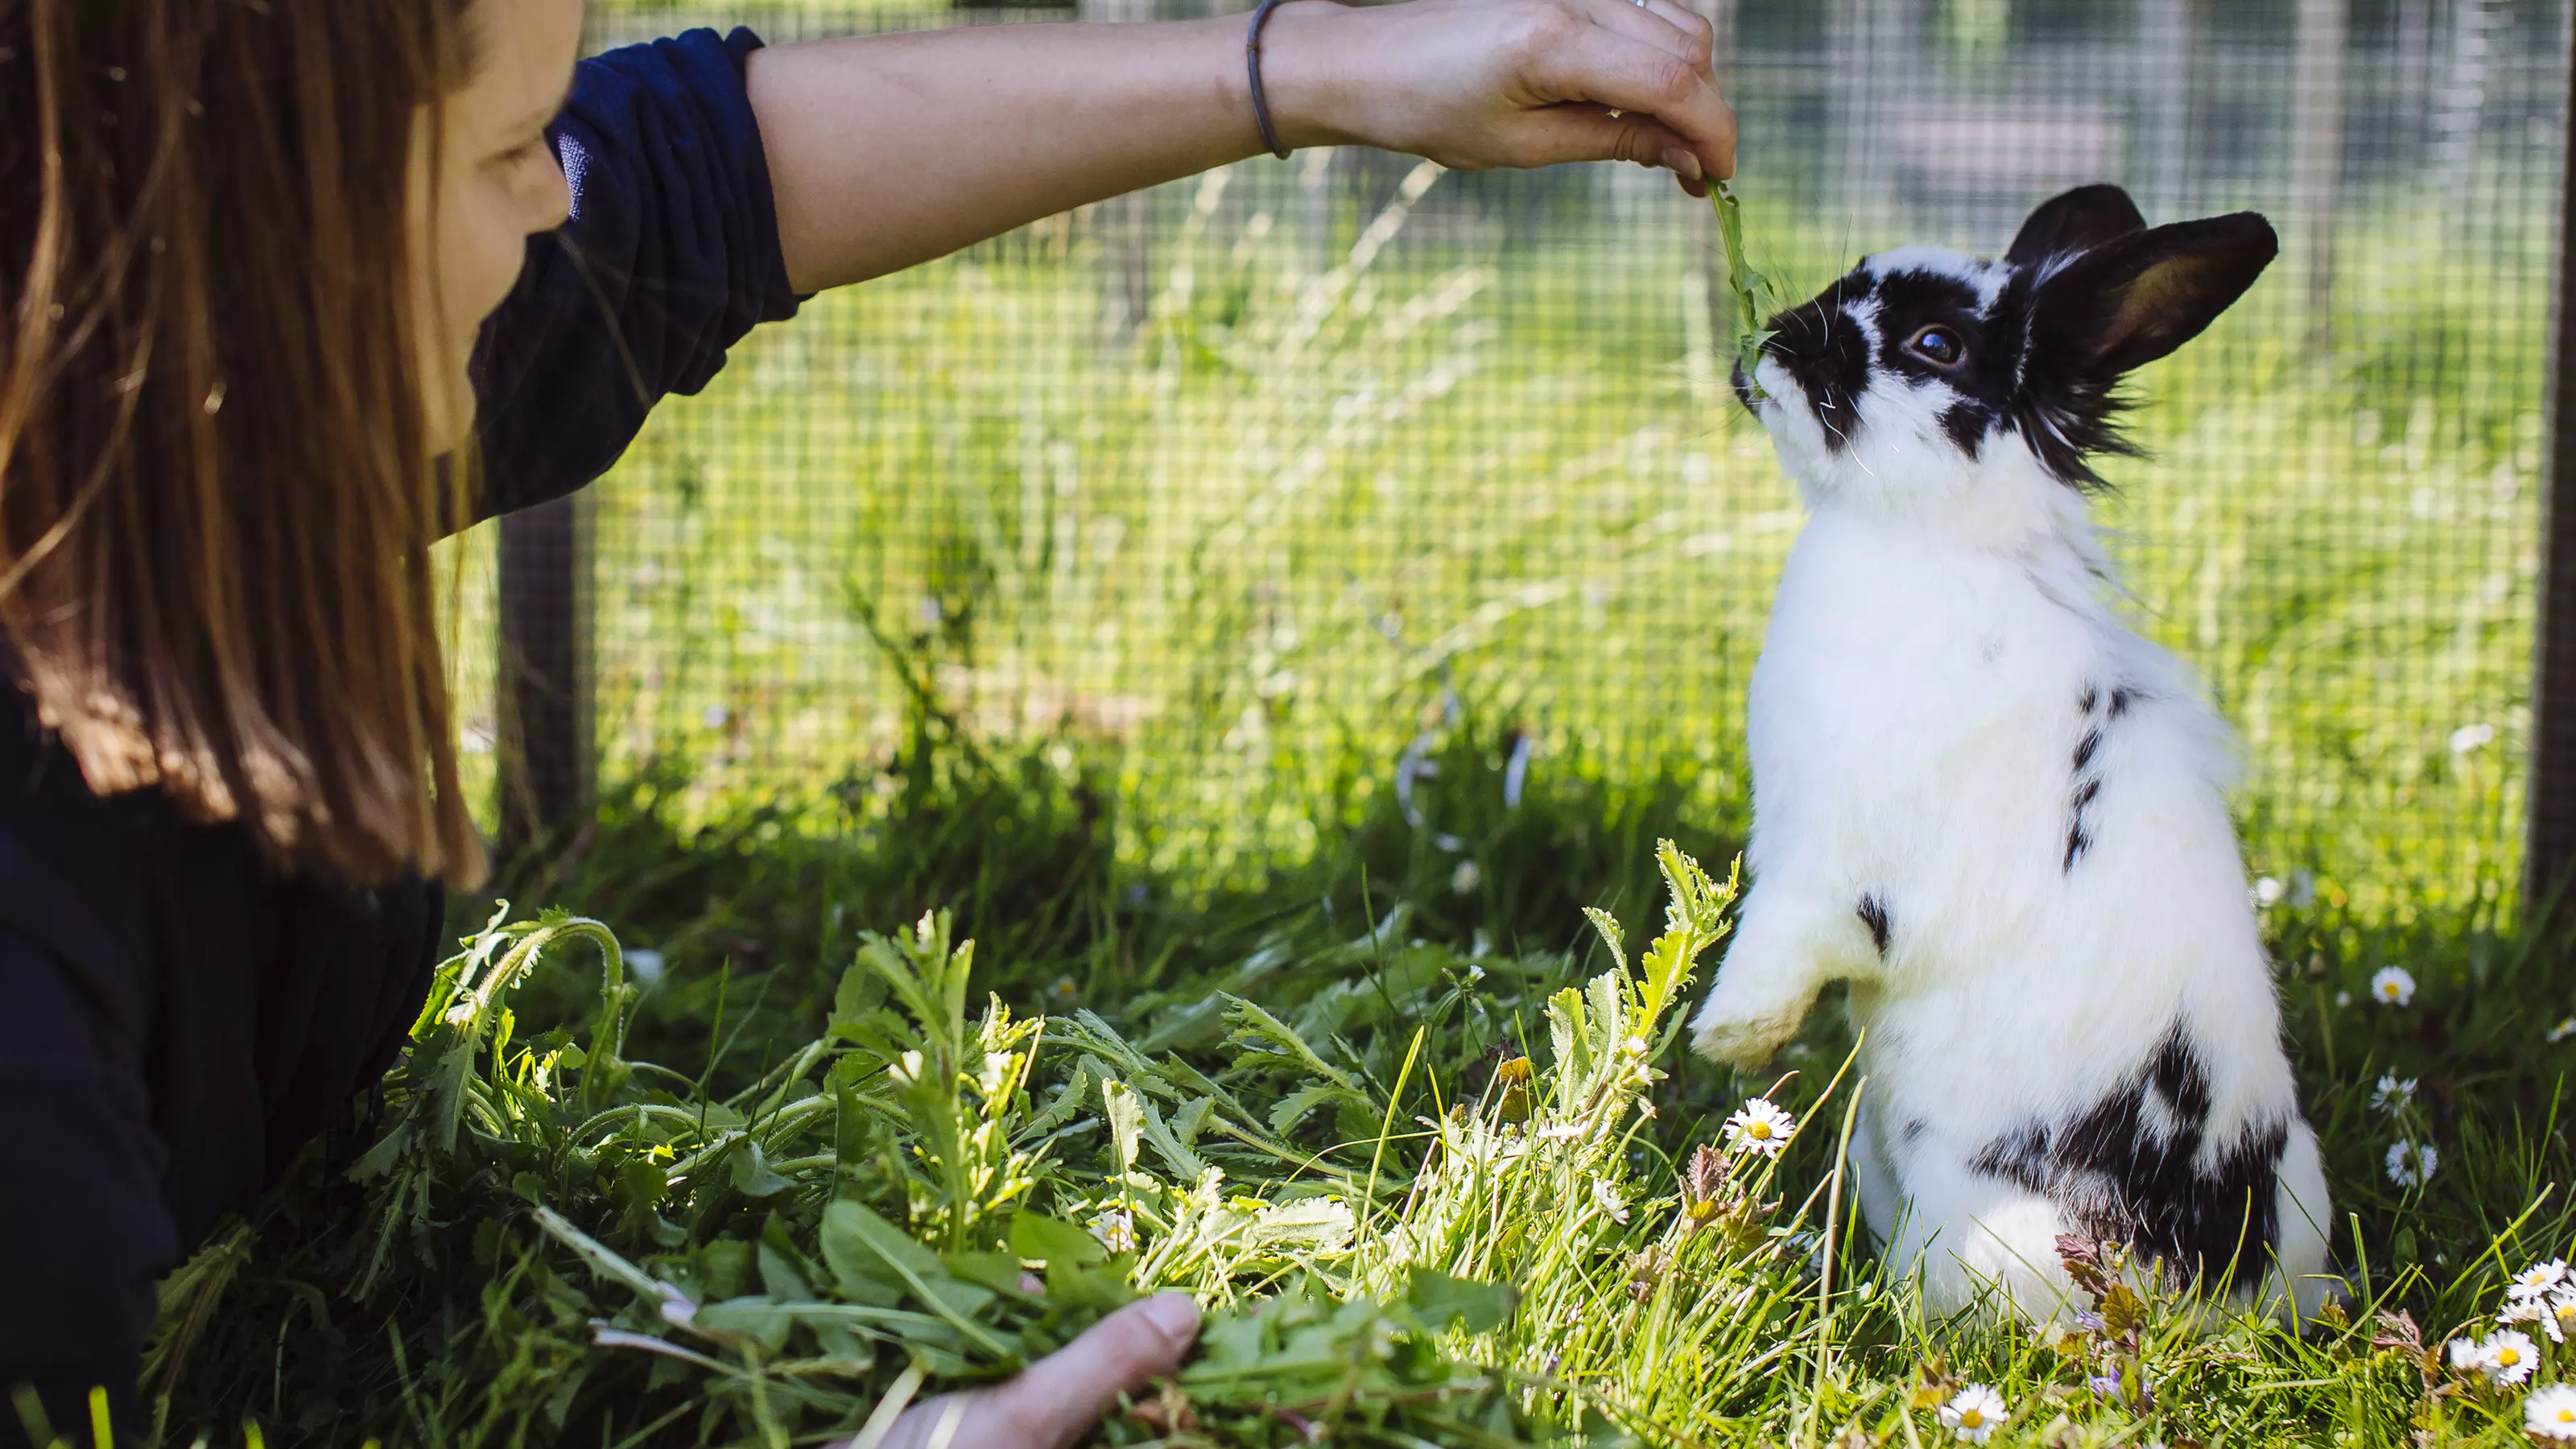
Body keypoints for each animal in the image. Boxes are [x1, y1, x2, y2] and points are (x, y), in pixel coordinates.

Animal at [1690, 185, 2339, 1330]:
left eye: (1934, 345)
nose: (1771, 340)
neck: (1932, 546)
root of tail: (2219, 1295)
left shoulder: (1831, 871)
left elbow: (1778, 945)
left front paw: (1727, 1039)